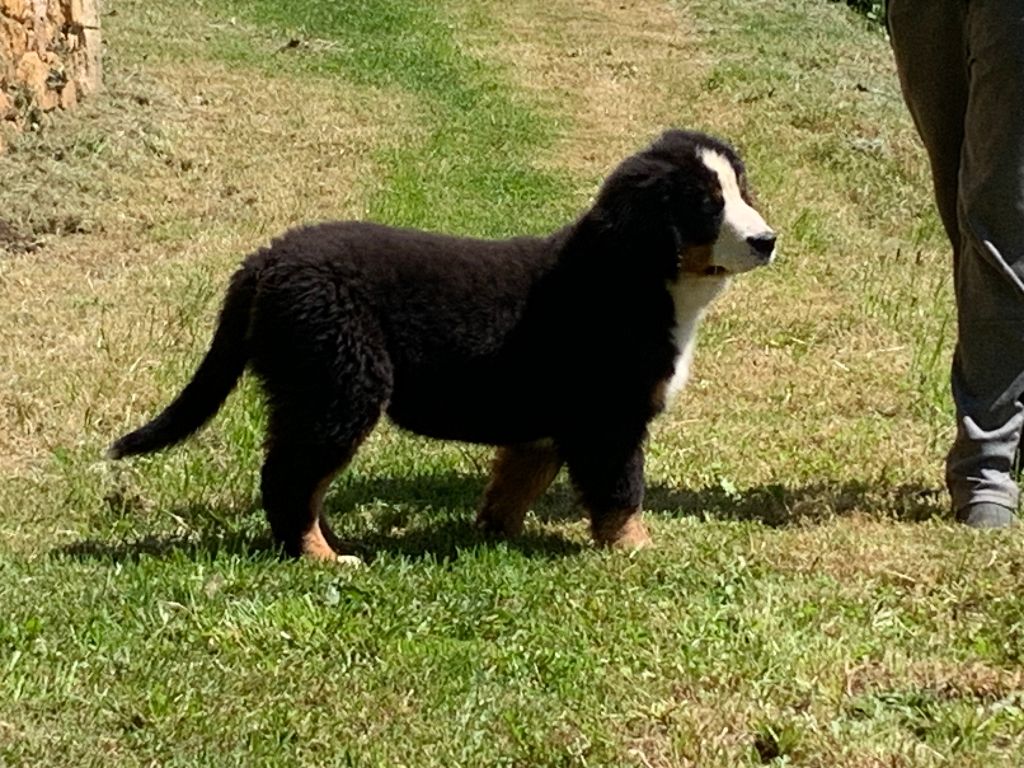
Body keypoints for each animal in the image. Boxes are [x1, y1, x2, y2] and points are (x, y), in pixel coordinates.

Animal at [108, 129, 776, 561]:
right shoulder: (608, 418)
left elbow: (516, 481)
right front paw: (638, 551)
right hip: (340, 385)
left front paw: (494, 532)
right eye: (706, 205)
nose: (767, 240)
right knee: (290, 479)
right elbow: (622, 490)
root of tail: (268, 258)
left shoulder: (547, 424)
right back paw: (321, 556)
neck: (631, 276)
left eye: (742, 191)